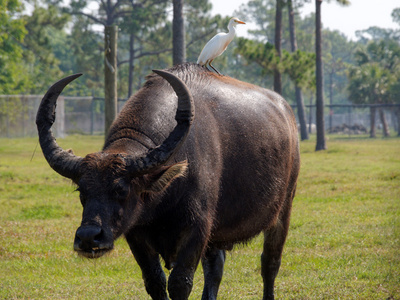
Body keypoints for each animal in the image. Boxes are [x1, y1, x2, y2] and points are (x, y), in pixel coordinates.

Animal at [36, 62, 300, 298]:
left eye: (121, 190)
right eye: (82, 191)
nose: (89, 237)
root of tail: (287, 113)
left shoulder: (196, 229)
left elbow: (180, 283)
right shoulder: (137, 233)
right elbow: (155, 282)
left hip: (283, 209)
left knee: (270, 264)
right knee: (215, 268)